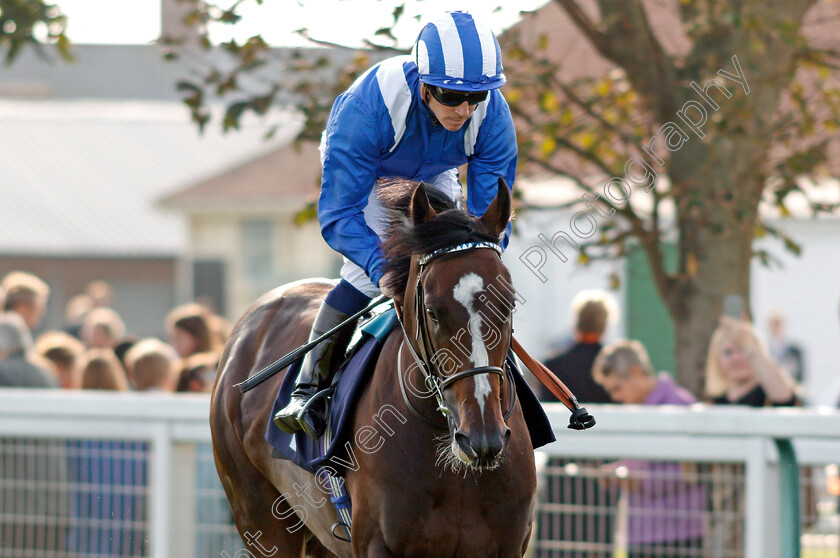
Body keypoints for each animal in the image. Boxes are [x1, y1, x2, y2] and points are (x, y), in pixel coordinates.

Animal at [210, 179, 540, 558]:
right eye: (432, 310)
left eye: (508, 304)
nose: (481, 438)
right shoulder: (377, 544)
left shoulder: (507, 545)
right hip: (259, 516)